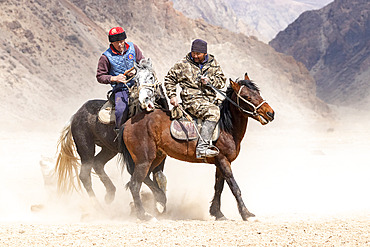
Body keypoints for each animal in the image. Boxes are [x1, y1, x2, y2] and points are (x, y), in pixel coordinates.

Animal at [54, 58, 168, 208]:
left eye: (151, 77)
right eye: (136, 80)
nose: (145, 100)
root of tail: (76, 115)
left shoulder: (160, 155)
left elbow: (159, 176)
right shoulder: (136, 157)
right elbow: (141, 176)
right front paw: (159, 200)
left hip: (108, 149)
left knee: (98, 163)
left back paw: (110, 193)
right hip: (85, 148)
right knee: (85, 175)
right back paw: (97, 205)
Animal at [118, 73, 274, 220]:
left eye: (258, 93)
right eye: (246, 96)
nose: (270, 113)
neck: (225, 127)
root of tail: (127, 124)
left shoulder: (219, 163)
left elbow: (219, 187)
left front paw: (217, 213)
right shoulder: (223, 161)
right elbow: (234, 187)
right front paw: (247, 214)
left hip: (156, 158)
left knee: (142, 179)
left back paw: (160, 201)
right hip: (144, 160)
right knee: (135, 184)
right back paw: (144, 215)